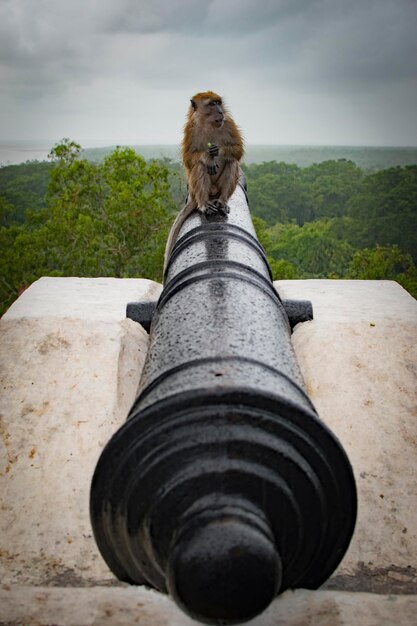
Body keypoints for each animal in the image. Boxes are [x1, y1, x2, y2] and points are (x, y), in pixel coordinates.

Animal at [162, 91, 244, 272]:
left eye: (219, 103)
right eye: (212, 104)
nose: (220, 112)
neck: (209, 124)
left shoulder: (229, 123)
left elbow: (237, 150)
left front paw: (217, 150)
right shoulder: (190, 128)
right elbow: (189, 159)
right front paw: (207, 156)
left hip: (218, 189)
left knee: (231, 161)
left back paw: (222, 201)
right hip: (196, 190)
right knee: (200, 166)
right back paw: (204, 204)